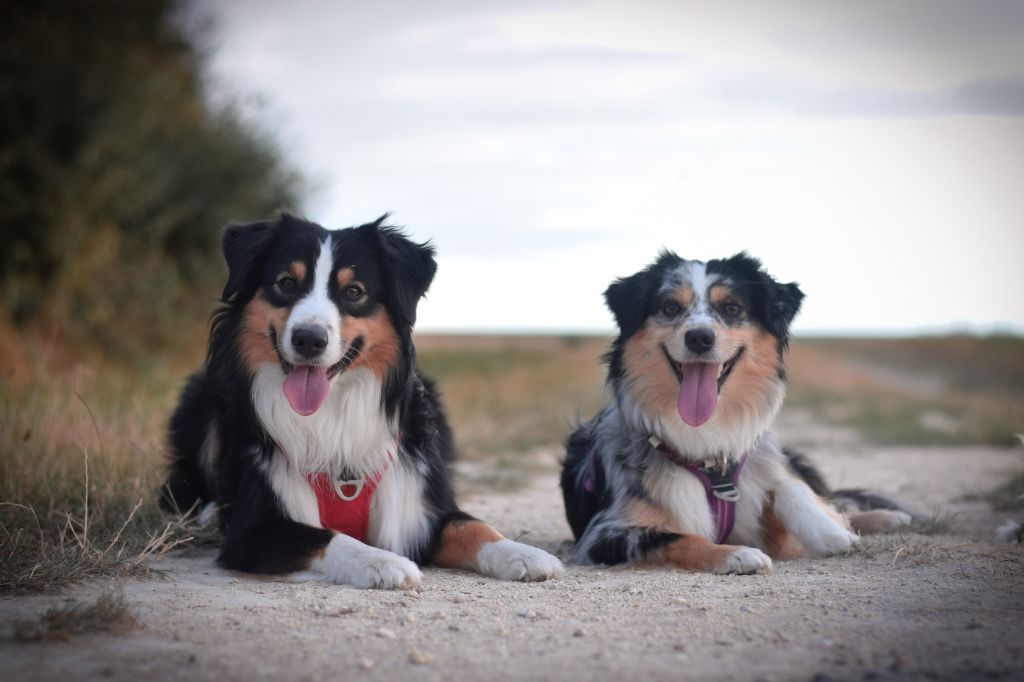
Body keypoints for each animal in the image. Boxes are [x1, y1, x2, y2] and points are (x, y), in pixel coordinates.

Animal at [160, 215, 565, 585]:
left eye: (353, 291)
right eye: (286, 283)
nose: (309, 340)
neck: (333, 411)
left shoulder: (418, 504)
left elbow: (472, 526)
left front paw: (523, 553)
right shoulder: (253, 531)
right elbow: (328, 536)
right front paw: (383, 562)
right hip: (202, 400)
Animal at [565, 251, 909, 569]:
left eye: (731, 308)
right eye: (670, 308)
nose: (699, 337)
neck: (708, 453)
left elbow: (785, 485)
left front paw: (828, 531)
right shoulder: (604, 534)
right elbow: (673, 538)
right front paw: (736, 554)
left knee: (832, 497)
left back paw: (888, 517)